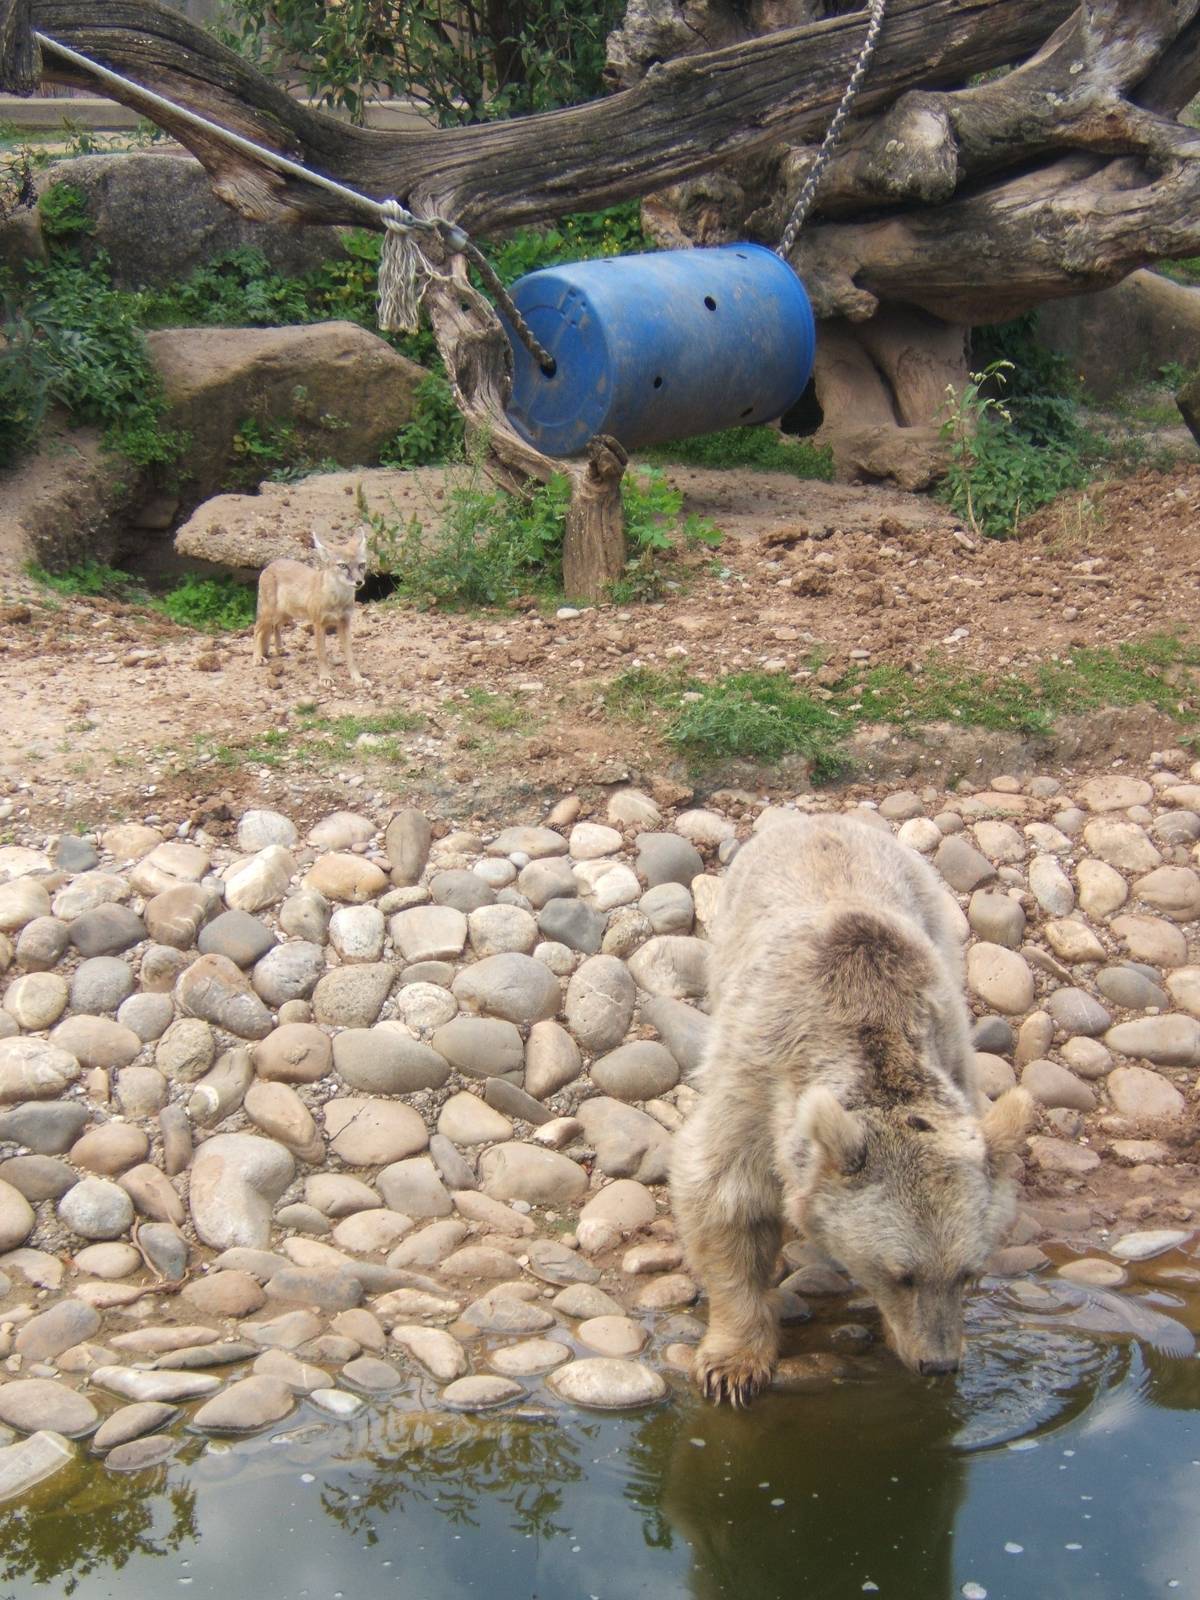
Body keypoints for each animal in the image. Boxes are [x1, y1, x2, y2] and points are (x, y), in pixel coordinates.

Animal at [253, 525, 370, 687]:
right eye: (343, 566)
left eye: (361, 565)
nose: (359, 582)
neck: (337, 600)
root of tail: (270, 565)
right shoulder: (318, 624)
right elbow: (322, 654)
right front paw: (325, 677)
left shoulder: (344, 623)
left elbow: (351, 656)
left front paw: (357, 679)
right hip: (268, 614)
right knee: (257, 630)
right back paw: (257, 657)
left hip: (286, 615)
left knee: (276, 627)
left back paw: (280, 649)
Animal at [671, 812, 1033, 1406]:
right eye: (901, 1274)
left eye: (968, 1273)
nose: (939, 1363)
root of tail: (820, 818)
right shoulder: (759, 1076)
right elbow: (727, 1195)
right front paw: (733, 1366)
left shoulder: (950, 1047)